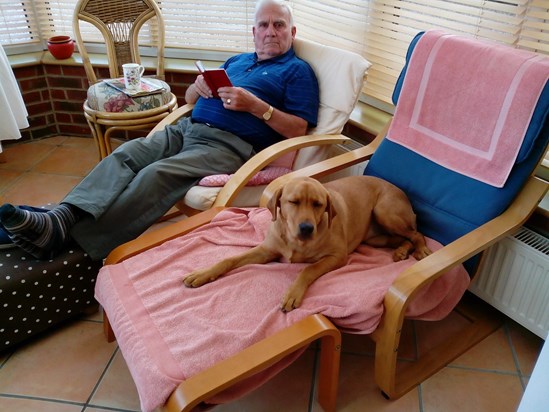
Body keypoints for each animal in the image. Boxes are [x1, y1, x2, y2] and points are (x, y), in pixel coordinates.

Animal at [184, 175, 432, 312]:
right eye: (293, 202)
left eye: (318, 204)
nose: (306, 228)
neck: (294, 240)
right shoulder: (265, 251)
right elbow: (229, 259)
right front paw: (203, 274)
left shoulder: (337, 256)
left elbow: (308, 270)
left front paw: (293, 293)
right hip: (377, 236)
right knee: (405, 237)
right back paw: (401, 251)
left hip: (385, 212)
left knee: (417, 233)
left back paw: (421, 250)